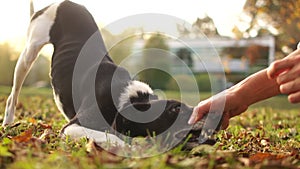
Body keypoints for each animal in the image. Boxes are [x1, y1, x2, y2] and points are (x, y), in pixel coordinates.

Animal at [2, 0, 220, 148]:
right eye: (175, 109)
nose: (215, 112)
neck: (127, 97)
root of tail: (65, 2)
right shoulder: (72, 126)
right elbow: (113, 137)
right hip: (29, 51)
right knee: (13, 95)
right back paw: (7, 123)